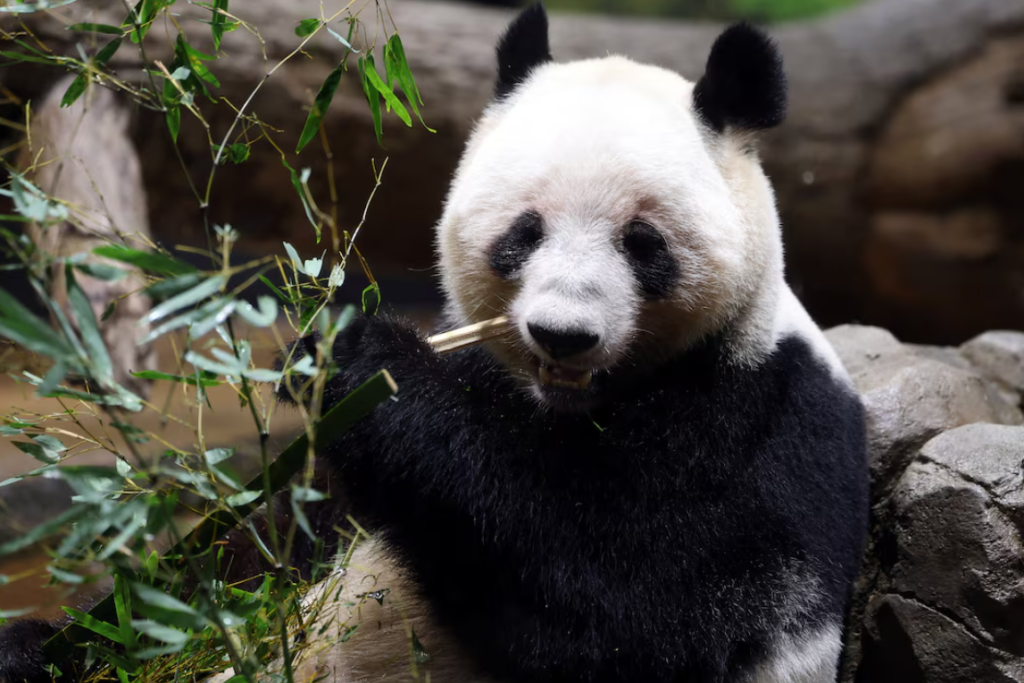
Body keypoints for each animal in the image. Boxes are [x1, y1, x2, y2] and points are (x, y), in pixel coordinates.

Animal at [0, 5, 869, 683]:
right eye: (524, 232)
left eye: (642, 243)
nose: (563, 334)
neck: (559, 406)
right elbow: (245, 549)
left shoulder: (750, 425)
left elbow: (625, 607)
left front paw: (368, 362)